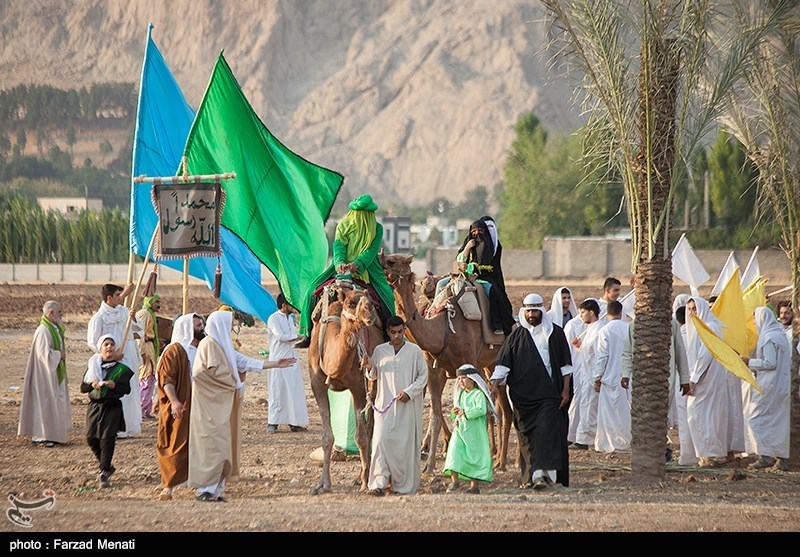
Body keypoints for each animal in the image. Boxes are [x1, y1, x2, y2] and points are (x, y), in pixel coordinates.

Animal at [306, 282, 384, 496]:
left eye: (369, 300)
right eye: (351, 303)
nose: (369, 311)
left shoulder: (358, 386)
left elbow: (361, 437)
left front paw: (365, 483)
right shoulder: (317, 382)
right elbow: (327, 437)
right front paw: (322, 484)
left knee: (370, 426)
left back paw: (363, 477)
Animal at [380, 252, 516, 474]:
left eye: (392, 261)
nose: (377, 258)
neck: (442, 329)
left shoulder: (467, 364)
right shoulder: (435, 371)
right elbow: (435, 415)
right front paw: (429, 467)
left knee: (506, 410)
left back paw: (502, 462)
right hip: (489, 365)